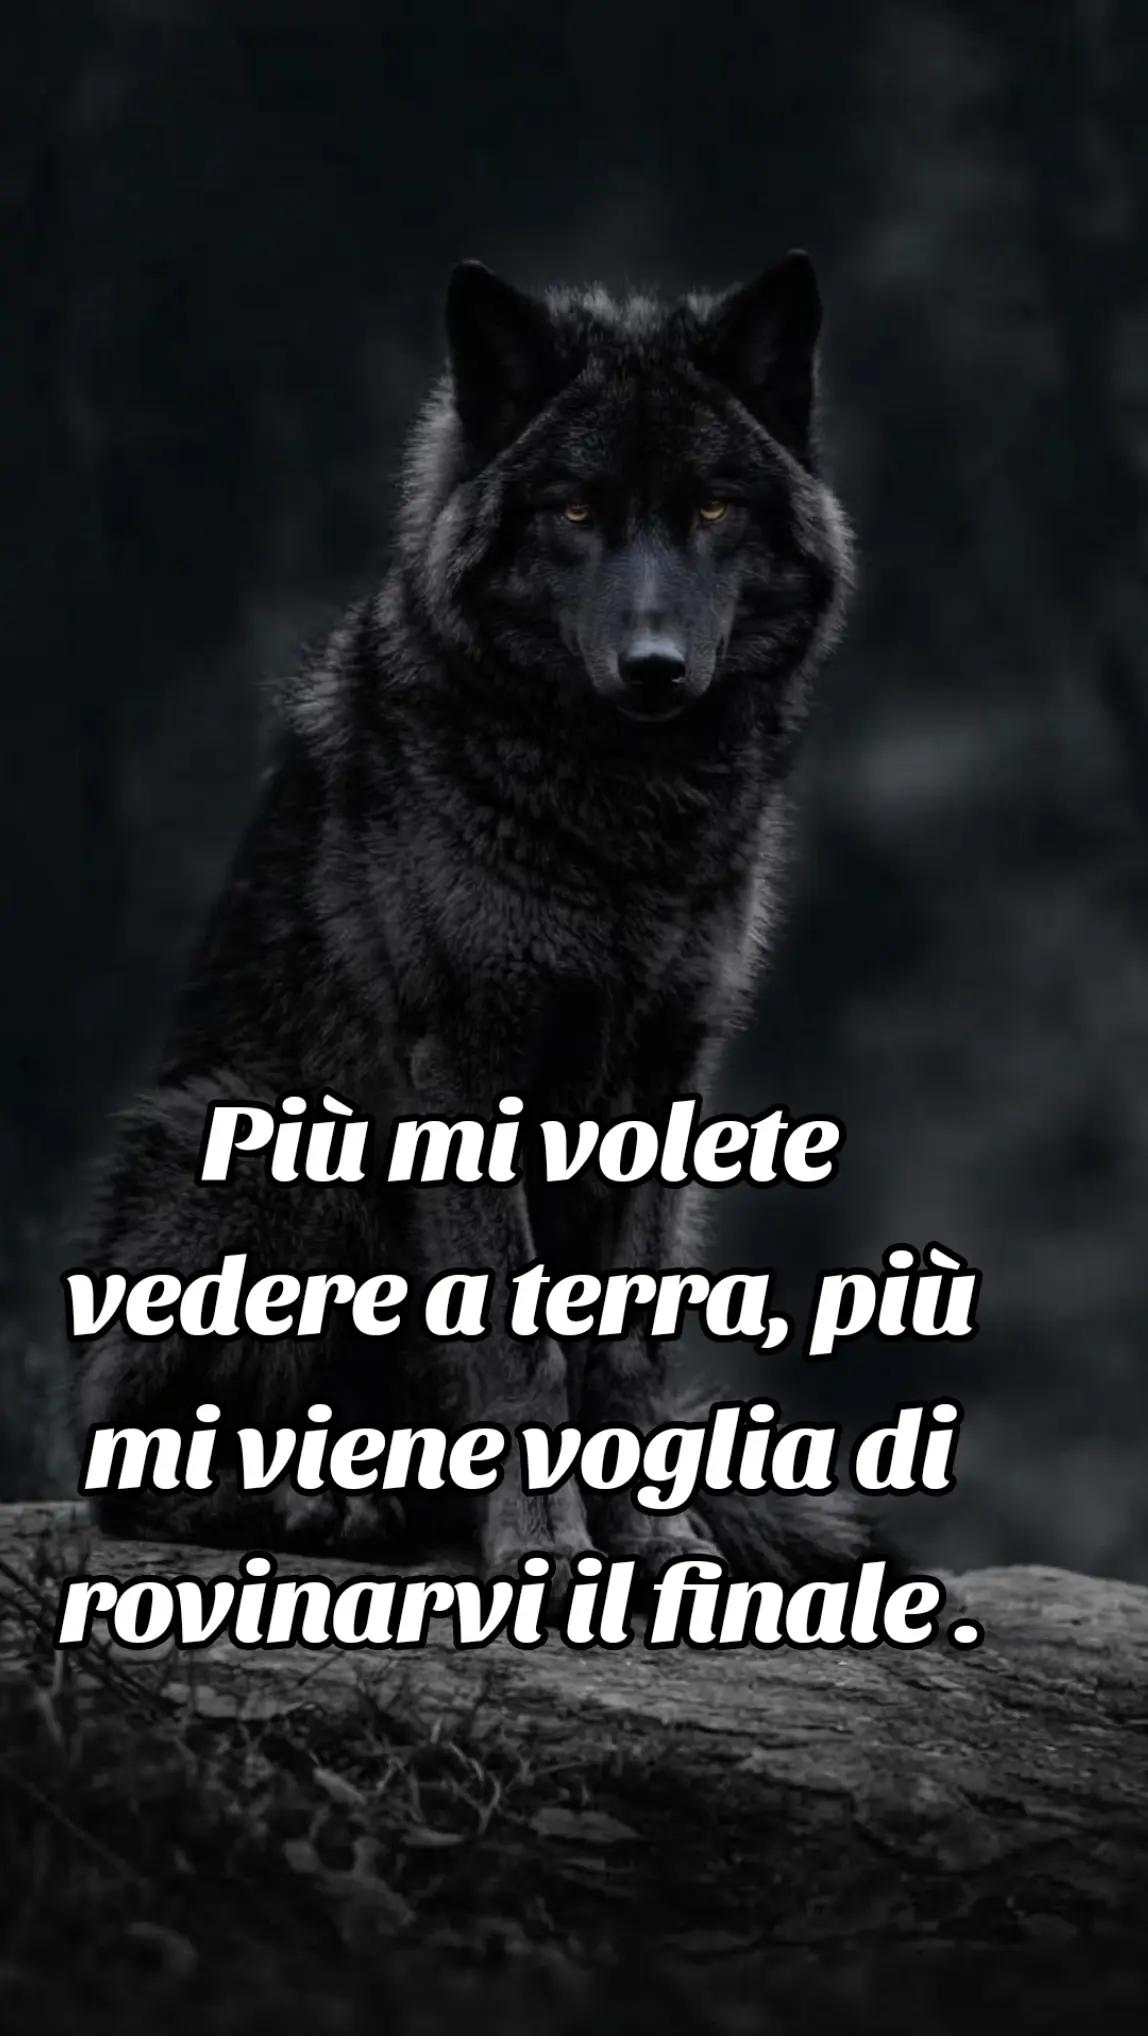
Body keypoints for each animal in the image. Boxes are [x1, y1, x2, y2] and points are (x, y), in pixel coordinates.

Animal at [72, 251, 875, 1592]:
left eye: (712, 512)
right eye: (573, 514)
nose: (655, 668)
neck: (619, 818)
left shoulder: (666, 1073)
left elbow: (625, 1342)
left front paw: (650, 1536)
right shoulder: (462, 1063)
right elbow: (515, 1335)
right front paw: (545, 1544)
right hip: (266, 1158)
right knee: (126, 1466)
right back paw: (315, 1502)